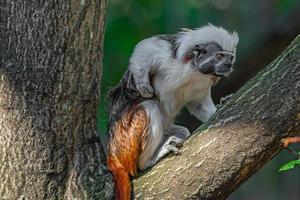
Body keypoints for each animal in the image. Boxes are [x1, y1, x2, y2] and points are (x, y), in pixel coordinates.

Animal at [106, 23, 238, 200]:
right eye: (220, 56)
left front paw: (221, 104)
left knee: (182, 131)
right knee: (149, 108)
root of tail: (113, 156)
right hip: (125, 140)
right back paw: (149, 160)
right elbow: (145, 48)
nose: (229, 65)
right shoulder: (167, 58)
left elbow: (198, 105)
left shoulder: (202, 84)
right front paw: (141, 83)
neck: (194, 70)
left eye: (230, 58)